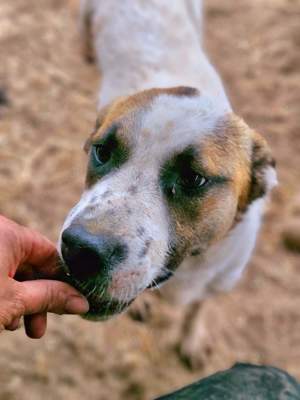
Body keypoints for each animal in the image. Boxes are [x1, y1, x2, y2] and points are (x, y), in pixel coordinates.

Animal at [58, 0, 276, 368]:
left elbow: (198, 307)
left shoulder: (220, 281)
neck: (189, 265)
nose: (79, 250)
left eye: (193, 179)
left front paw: (191, 338)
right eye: (102, 151)